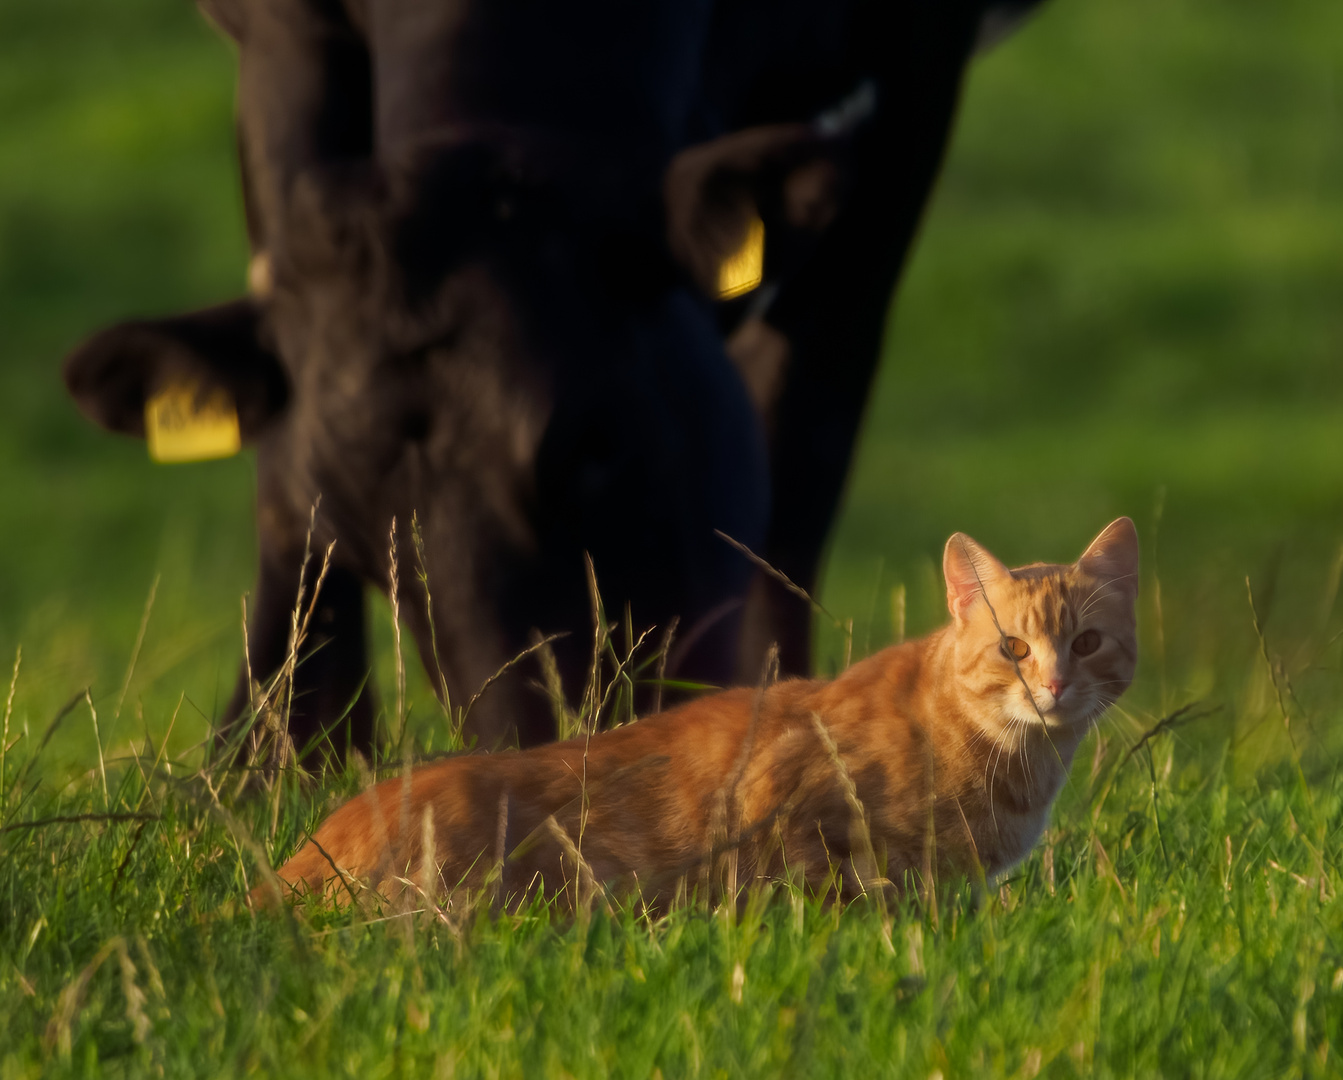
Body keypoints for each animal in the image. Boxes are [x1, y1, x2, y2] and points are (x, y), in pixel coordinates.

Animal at [60, 0, 1036, 757]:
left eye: (594, 445)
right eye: (349, 518)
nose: (537, 744)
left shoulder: (909, 76)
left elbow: (800, 449)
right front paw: (274, 755)